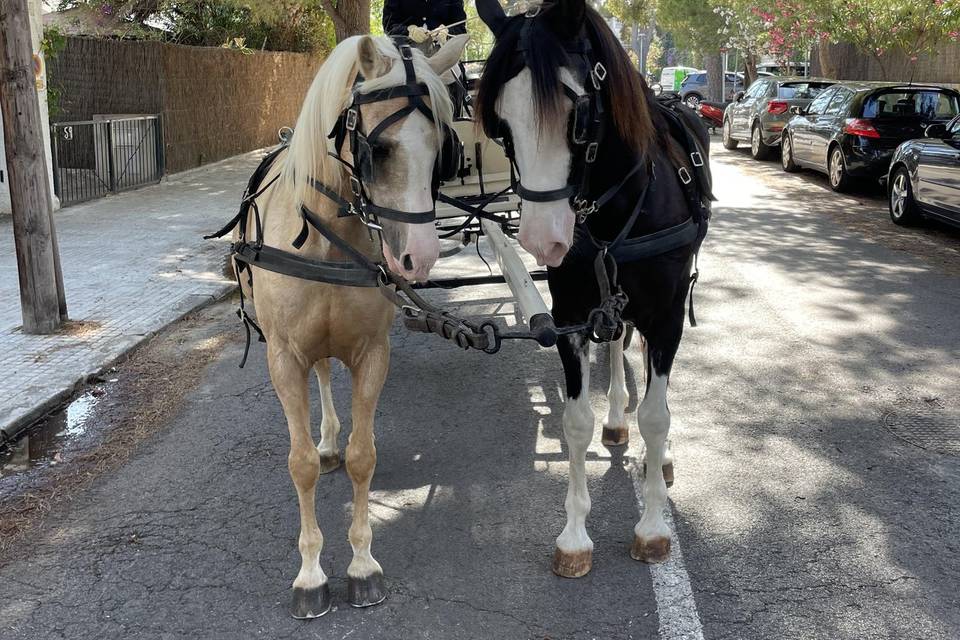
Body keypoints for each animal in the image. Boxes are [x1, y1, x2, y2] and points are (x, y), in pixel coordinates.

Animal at [238, 33, 466, 616]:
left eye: (442, 149)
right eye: (377, 151)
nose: (419, 258)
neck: (324, 235)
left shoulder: (372, 353)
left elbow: (365, 458)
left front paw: (362, 564)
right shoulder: (283, 357)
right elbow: (299, 465)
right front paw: (310, 574)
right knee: (320, 377)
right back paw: (325, 441)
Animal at [474, 0, 708, 576]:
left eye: (577, 112)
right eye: (500, 124)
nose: (543, 240)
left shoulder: (667, 315)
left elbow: (658, 415)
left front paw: (652, 526)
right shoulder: (572, 315)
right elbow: (576, 420)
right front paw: (575, 535)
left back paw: (657, 456)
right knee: (620, 343)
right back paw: (618, 419)